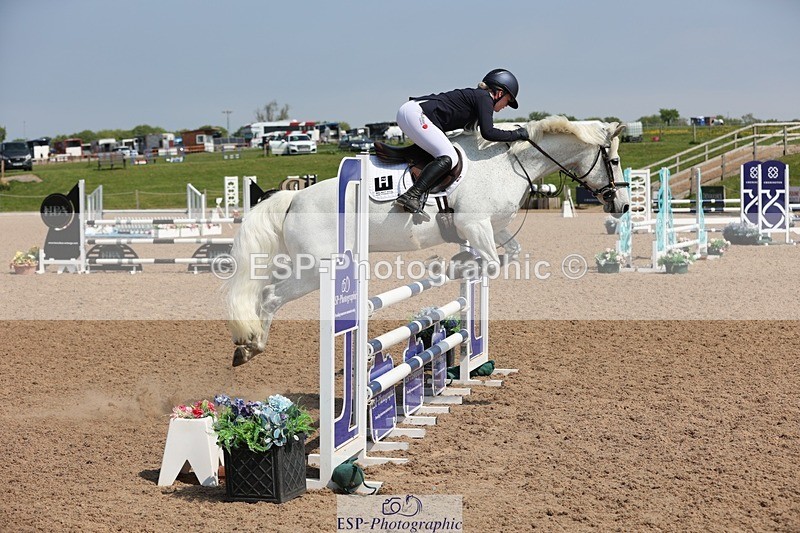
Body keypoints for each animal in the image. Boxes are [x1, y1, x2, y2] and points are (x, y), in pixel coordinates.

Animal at [225, 116, 629, 366]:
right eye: (613, 160)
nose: (623, 205)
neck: (509, 164)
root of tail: (293, 199)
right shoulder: (474, 224)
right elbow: (492, 262)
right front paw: (458, 265)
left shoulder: (492, 227)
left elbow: (509, 254)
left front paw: (459, 265)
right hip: (316, 270)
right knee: (270, 295)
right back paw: (251, 346)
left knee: (267, 292)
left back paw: (247, 345)